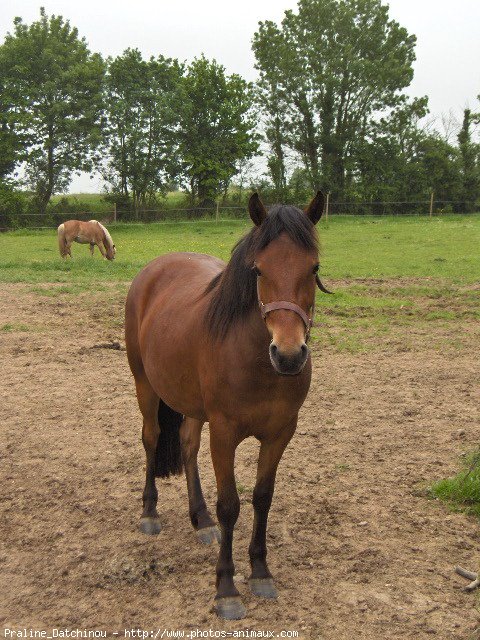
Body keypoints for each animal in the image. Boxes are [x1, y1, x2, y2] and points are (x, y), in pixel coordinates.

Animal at [125, 191, 332, 620]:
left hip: (191, 405)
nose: (288, 355)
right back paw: (150, 514)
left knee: (187, 446)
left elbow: (262, 498)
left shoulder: (280, 433)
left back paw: (200, 519)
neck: (257, 362)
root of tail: (152, 271)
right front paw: (226, 588)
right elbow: (231, 505)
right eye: (258, 270)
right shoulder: (224, 434)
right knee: (151, 439)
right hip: (145, 386)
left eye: (314, 267)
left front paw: (260, 571)